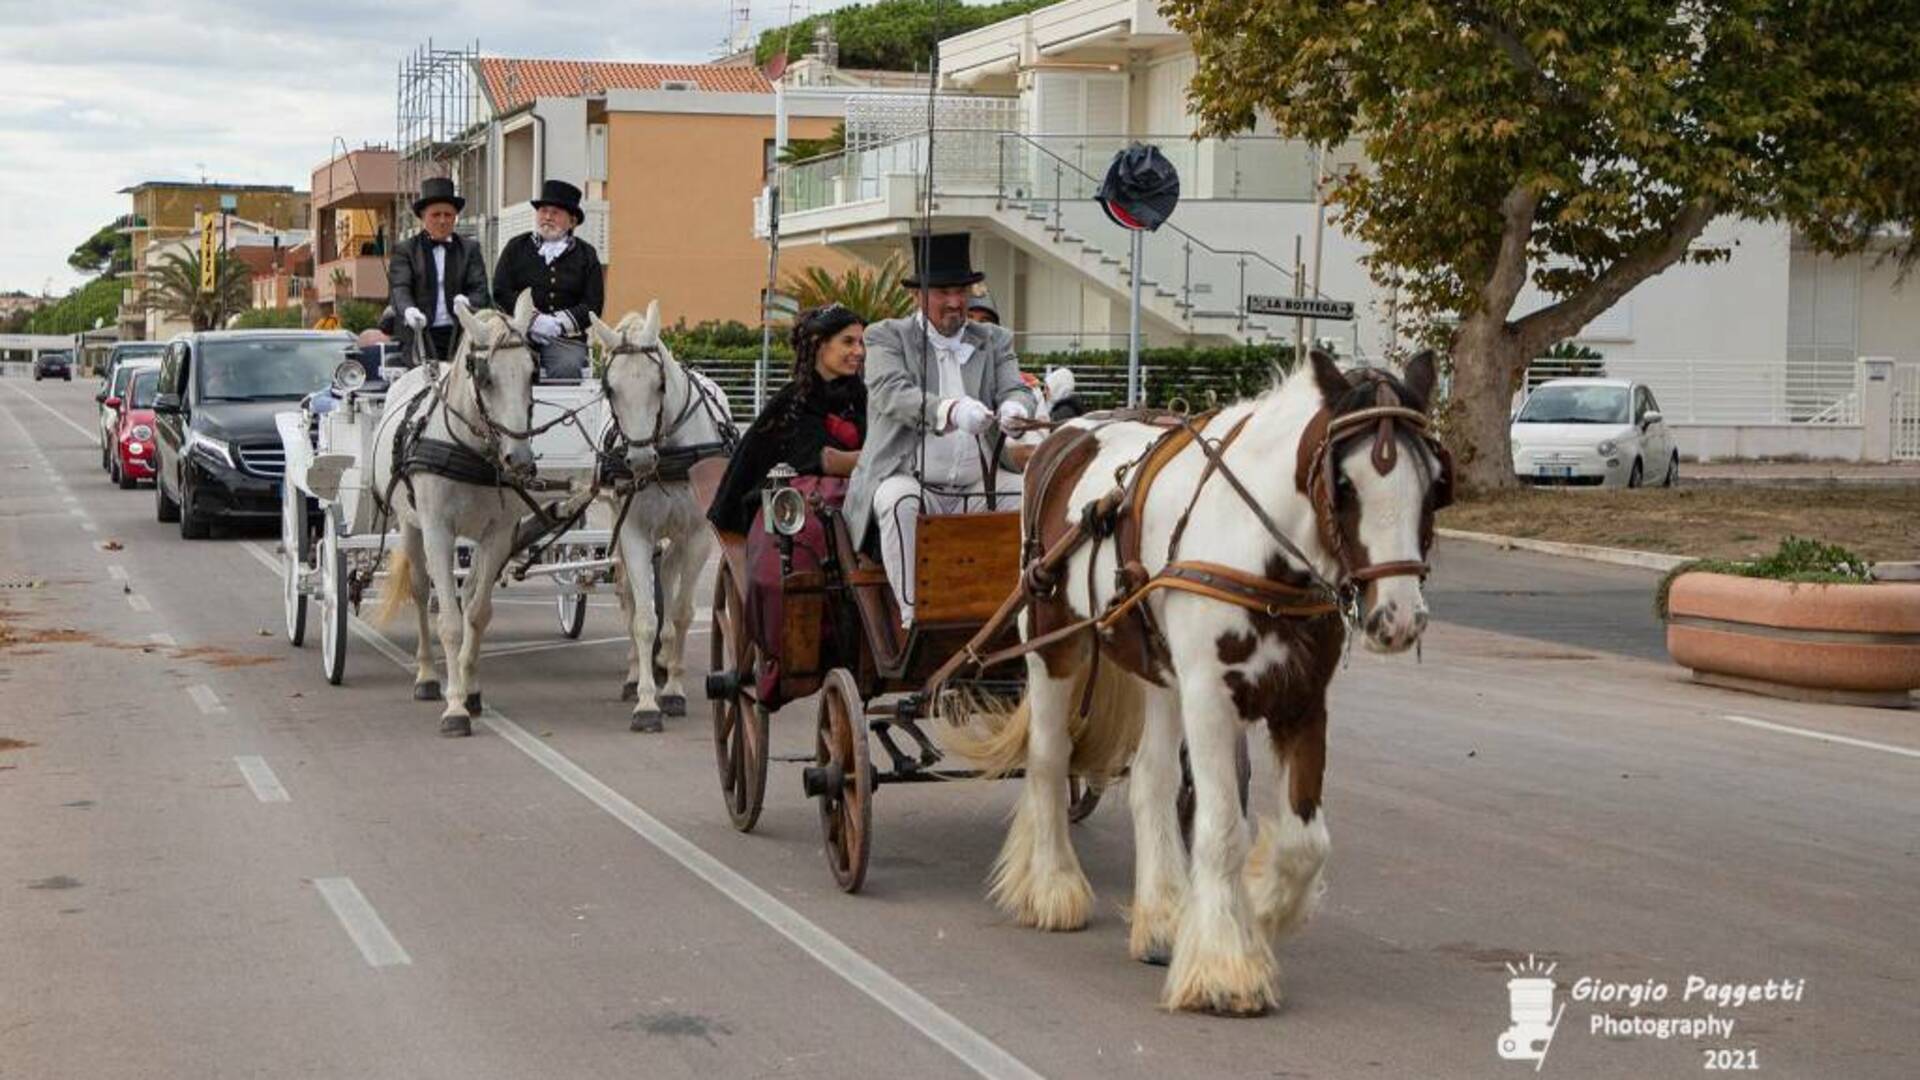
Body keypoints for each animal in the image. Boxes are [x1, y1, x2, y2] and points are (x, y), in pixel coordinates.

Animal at [370, 290, 545, 734]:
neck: (471, 448)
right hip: (410, 526)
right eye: (485, 377)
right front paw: (454, 708)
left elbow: (477, 613)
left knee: (467, 595)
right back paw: (428, 676)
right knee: (419, 590)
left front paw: (470, 691)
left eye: (532, 372)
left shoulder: (498, 533)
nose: (519, 460)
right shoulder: (437, 530)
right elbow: (448, 621)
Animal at [583, 303, 733, 730]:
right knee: (631, 595)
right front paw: (647, 701)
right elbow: (644, 617)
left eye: (660, 386)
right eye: (610, 389)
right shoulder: (633, 533)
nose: (638, 460)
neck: (669, 455)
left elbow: (680, 614)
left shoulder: (697, 536)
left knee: (666, 573)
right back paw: (636, 673)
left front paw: (674, 690)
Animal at [967, 349, 1443, 1014]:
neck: (1260, 548)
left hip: (1160, 672)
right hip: (1052, 640)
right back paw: (1053, 886)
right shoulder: (1211, 699)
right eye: (1345, 484)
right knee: (1048, 757)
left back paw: (1161, 919)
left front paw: (1257, 913)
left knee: (1151, 780)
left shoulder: (1302, 700)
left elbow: (1305, 842)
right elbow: (1222, 832)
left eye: (1433, 483)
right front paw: (1225, 966)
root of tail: (1063, 433)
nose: (1397, 618)